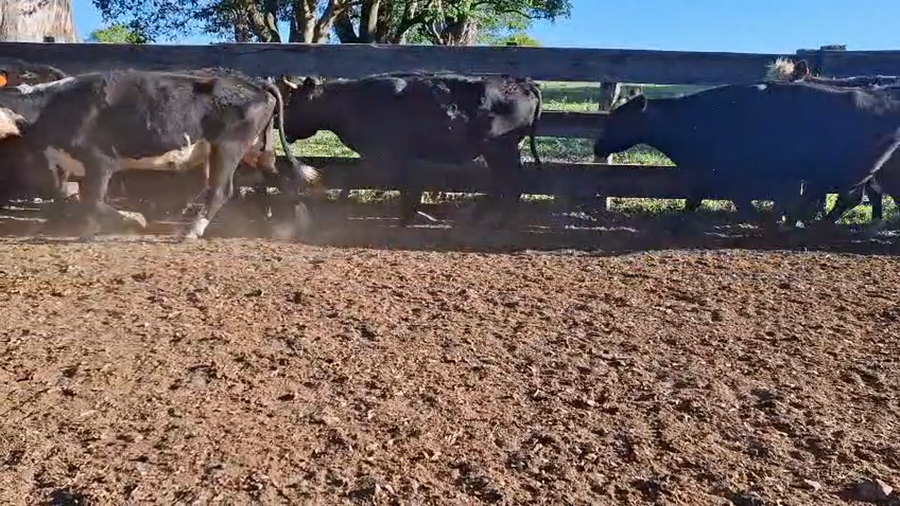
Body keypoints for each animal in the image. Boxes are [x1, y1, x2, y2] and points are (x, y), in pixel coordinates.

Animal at [0, 69, 319, 240]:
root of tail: (254, 82)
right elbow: (76, 198)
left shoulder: (98, 161)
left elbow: (93, 201)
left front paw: (135, 220)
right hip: (258, 149)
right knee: (283, 179)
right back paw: (295, 223)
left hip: (229, 147)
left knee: (221, 190)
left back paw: (191, 231)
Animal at [276, 71, 543, 227]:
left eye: (292, 102)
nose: (284, 127)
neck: (354, 101)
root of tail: (524, 83)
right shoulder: (399, 157)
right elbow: (407, 185)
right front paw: (410, 215)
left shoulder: (381, 155)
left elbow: (353, 179)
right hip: (503, 150)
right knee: (506, 183)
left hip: (500, 149)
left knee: (510, 183)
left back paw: (494, 219)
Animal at [592, 80, 900, 233]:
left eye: (621, 120)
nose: (597, 146)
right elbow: (698, 198)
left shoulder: (723, 172)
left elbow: (735, 199)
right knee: (854, 196)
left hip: (846, 168)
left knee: (847, 196)